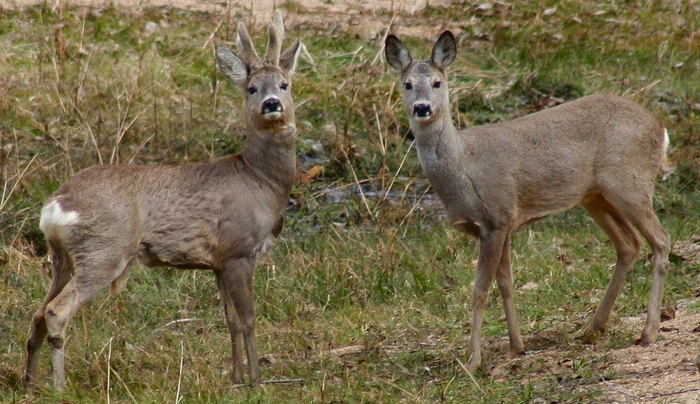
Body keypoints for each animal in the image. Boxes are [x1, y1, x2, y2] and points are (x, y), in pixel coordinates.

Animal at [24, 11, 301, 391]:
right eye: (251, 88)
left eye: (284, 84)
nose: (271, 104)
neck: (260, 180)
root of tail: (56, 205)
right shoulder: (238, 250)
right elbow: (248, 319)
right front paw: (256, 383)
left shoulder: (218, 262)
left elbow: (229, 320)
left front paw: (236, 379)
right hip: (103, 250)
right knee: (55, 311)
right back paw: (59, 387)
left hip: (63, 258)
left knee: (38, 311)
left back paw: (28, 384)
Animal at [385, 31, 671, 372]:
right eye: (407, 84)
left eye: (437, 82)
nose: (422, 108)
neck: (463, 167)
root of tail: (660, 128)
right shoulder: (503, 223)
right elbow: (506, 283)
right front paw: (516, 347)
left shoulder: (495, 217)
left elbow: (480, 291)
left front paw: (473, 360)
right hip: (595, 196)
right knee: (629, 244)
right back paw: (592, 329)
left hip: (631, 182)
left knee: (661, 240)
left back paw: (648, 332)